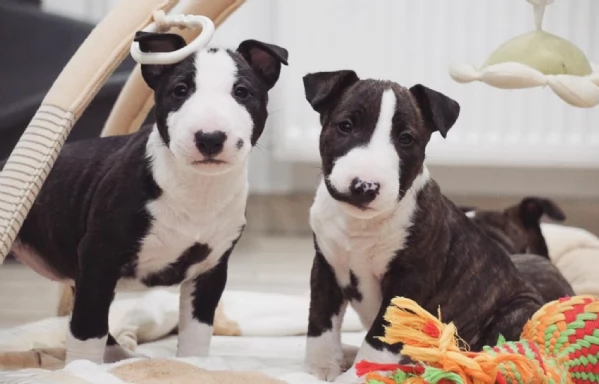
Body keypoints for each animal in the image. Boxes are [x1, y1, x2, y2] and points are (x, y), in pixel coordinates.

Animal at [1, 32, 288, 364]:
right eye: (180, 90)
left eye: (242, 92)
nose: (210, 138)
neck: (196, 189)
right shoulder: (98, 257)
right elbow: (88, 328)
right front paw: (83, 368)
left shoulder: (210, 270)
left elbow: (197, 330)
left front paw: (193, 365)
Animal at [304, 71, 544, 380]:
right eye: (345, 126)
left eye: (406, 139)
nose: (365, 186)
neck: (361, 225)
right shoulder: (326, 266)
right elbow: (320, 321)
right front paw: (319, 369)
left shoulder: (410, 280)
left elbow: (382, 336)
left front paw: (361, 375)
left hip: (517, 311)